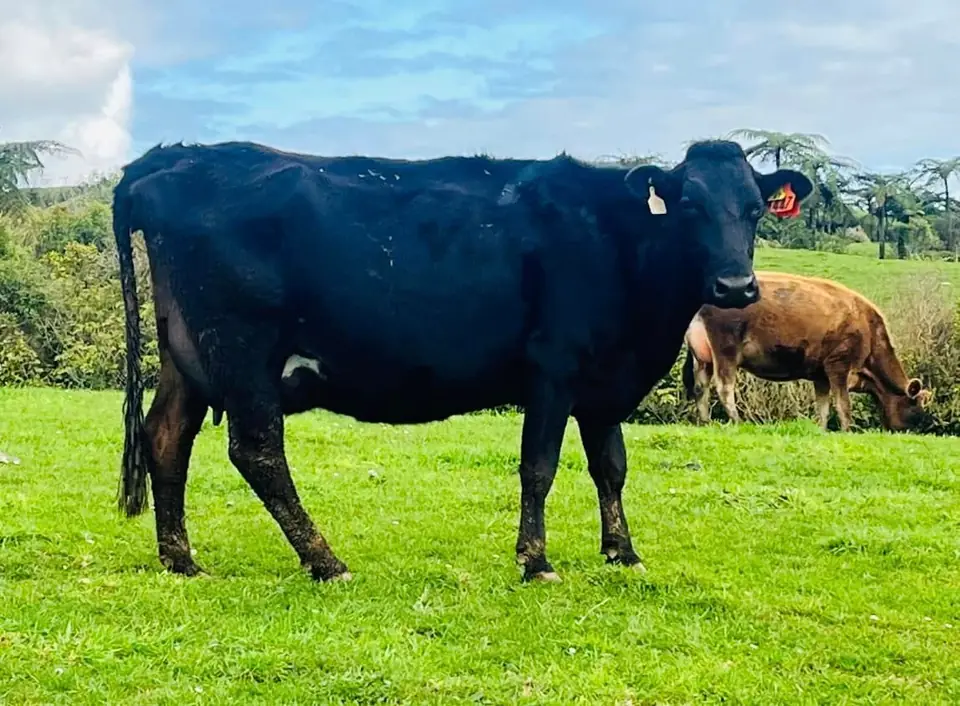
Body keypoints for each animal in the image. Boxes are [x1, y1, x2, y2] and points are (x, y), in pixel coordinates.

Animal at [111, 138, 812, 583]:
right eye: (690, 206)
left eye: (754, 209)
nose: (734, 287)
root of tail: (175, 157)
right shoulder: (553, 371)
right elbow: (539, 467)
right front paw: (536, 561)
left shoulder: (603, 381)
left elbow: (611, 468)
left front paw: (622, 552)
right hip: (242, 354)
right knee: (257, 452)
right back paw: (325, 561)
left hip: (187, 358)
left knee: (166, 438)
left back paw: (181, 560)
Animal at [682, 270, 933, 432]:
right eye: (915, 408)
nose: (912, 430)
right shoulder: (838, 365)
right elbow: (843, 405)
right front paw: (846, 430)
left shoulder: (820, 373)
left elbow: (823, 407)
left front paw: (821, 430)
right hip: (726, 349)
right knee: (724, 387)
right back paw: (736, 421)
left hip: (703, 358)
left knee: (700, 388)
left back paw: (704, 422)